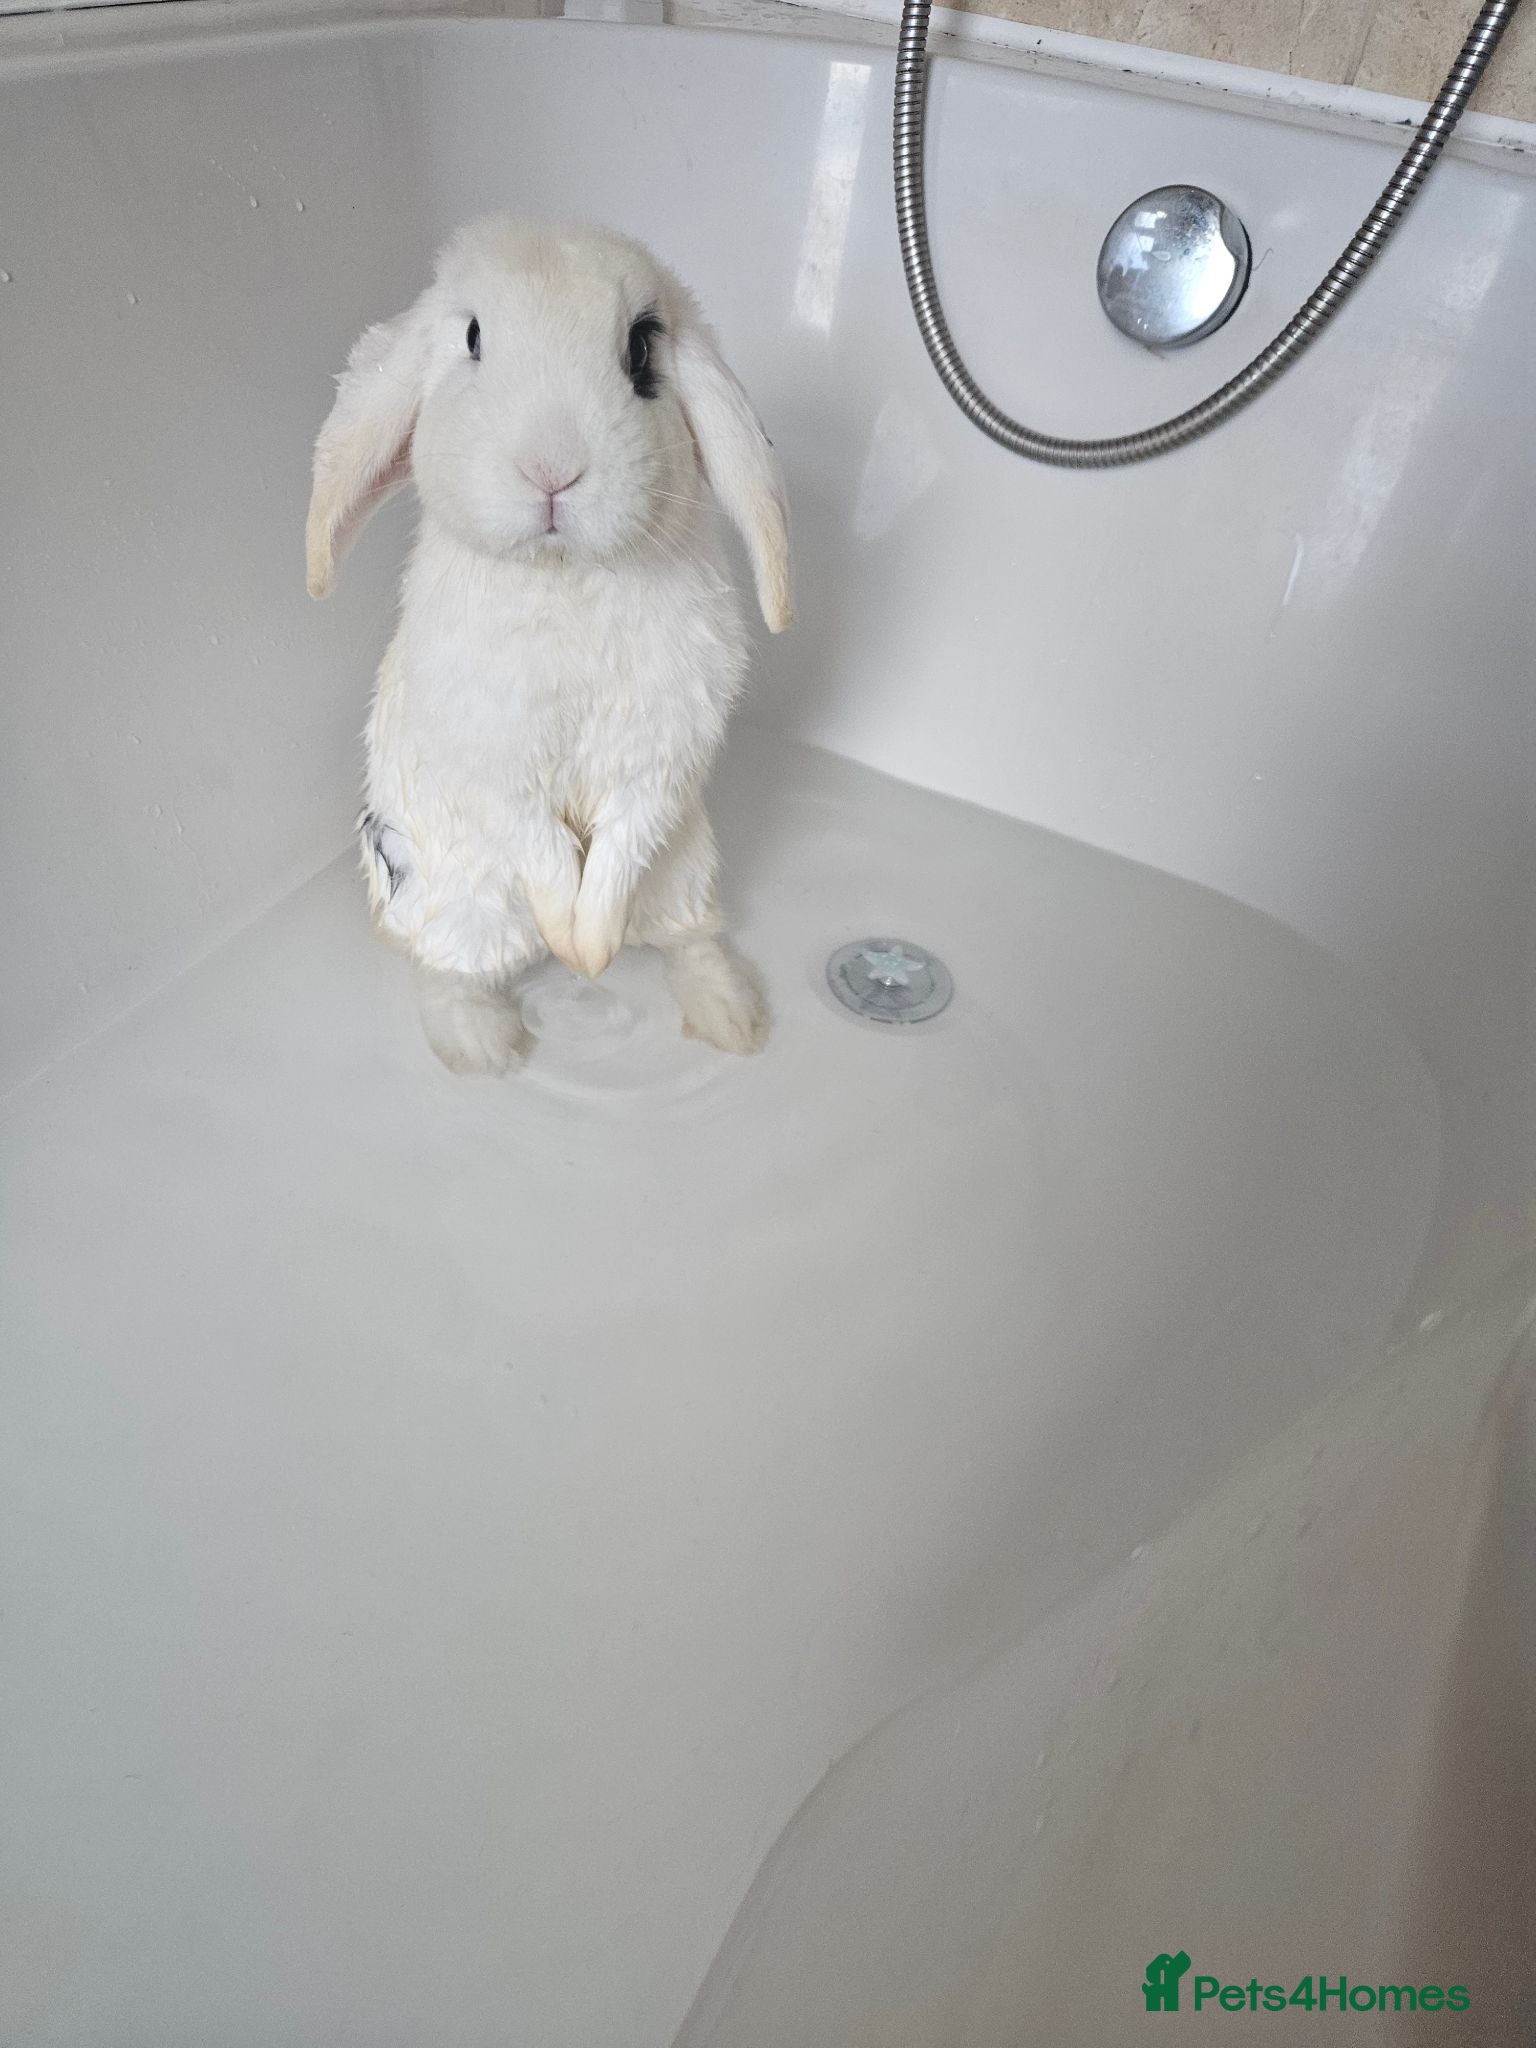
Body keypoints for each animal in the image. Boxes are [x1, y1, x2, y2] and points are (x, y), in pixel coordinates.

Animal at [306, 216, 792, 1075]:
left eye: (641, 348)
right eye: (472, 337)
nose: (552, 469)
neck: (564, 576)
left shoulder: (660, 755)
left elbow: (621, 843)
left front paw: (590, 950)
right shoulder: (495, 758)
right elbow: (538, 840)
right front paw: (573, 945)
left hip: (687, 870)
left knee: (688, 940)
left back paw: (732, 1017)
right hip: (459, 905)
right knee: (448, 973)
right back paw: (486, 1049)